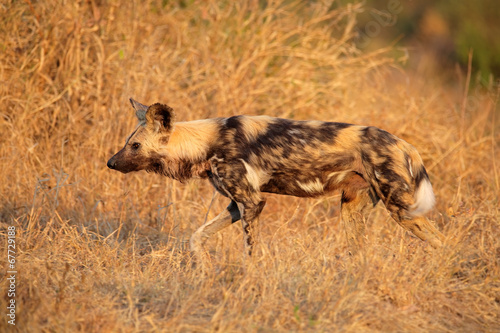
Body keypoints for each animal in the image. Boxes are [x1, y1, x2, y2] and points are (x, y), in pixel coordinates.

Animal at [107, 97, 444, 258]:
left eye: (135, 146)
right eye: (127, 143)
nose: (110, 163)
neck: (207, 141)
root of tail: (403, 143)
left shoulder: (252, 202)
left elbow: (250, 250)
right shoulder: (235, 206)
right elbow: (197, 237)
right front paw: (203, 269)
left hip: (401, 209)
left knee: (444, 241)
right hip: (351, 210)